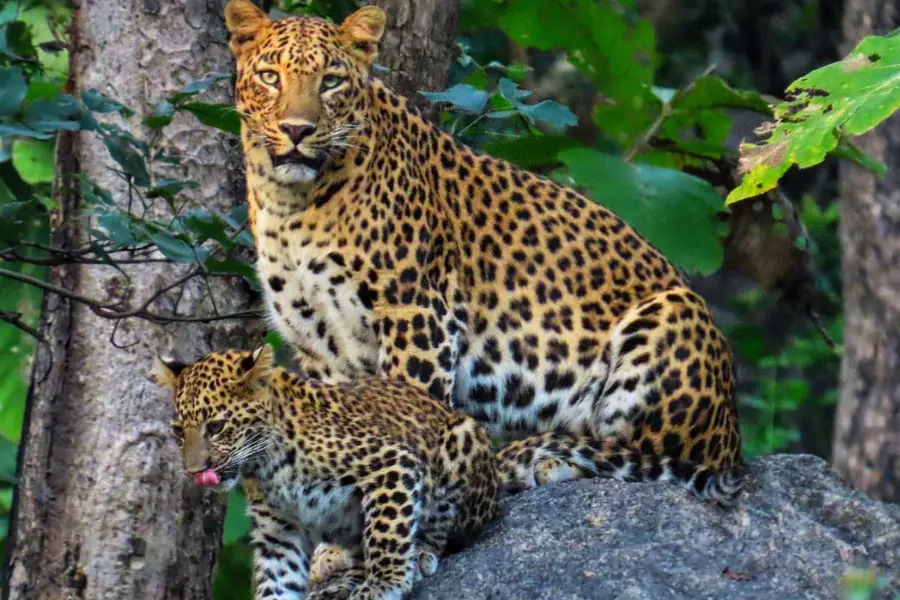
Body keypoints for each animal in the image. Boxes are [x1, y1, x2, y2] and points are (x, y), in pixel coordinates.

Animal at [152, 346, 741, 600]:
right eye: (180, 431)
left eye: (219, 426)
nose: (197, 471)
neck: (265, 467)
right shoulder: (279, 532)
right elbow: (278, 584)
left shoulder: (390, 466)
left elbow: (388, 534)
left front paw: (384, 584)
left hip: (460, 444)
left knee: (453, 525)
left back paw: (417, 556)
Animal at [223, 0, 744, 498]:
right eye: (270, 77)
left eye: (330, 81)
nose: (297, 129)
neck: (291, 202)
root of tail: (734, 436)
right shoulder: (319, 345)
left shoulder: (416, 316)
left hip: (676, 314)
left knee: (649, 457)